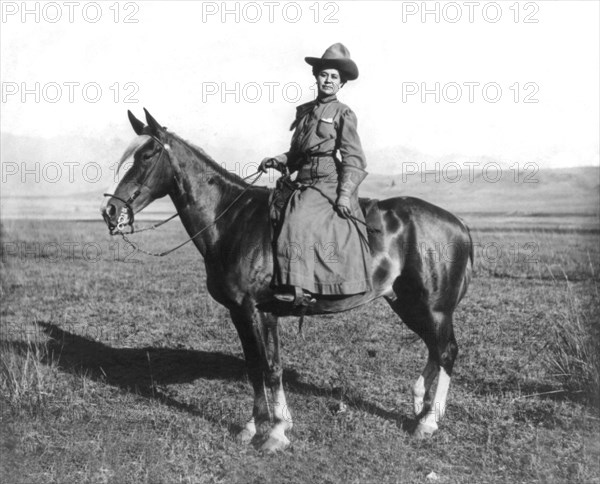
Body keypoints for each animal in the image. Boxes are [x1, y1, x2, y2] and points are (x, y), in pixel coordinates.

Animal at [102, 109, 474, 454]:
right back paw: (421, 406)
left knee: (446, 350)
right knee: (435, 349)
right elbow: (260, 367)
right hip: (407, 303)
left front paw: (274, 432)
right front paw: (258, 427)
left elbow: (268, 368)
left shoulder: (254, 311)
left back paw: (428, 421)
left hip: (434, 308)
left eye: (147, 155)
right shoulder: (249, 314)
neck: (231, 221)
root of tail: (458, 224)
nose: (111, 211)